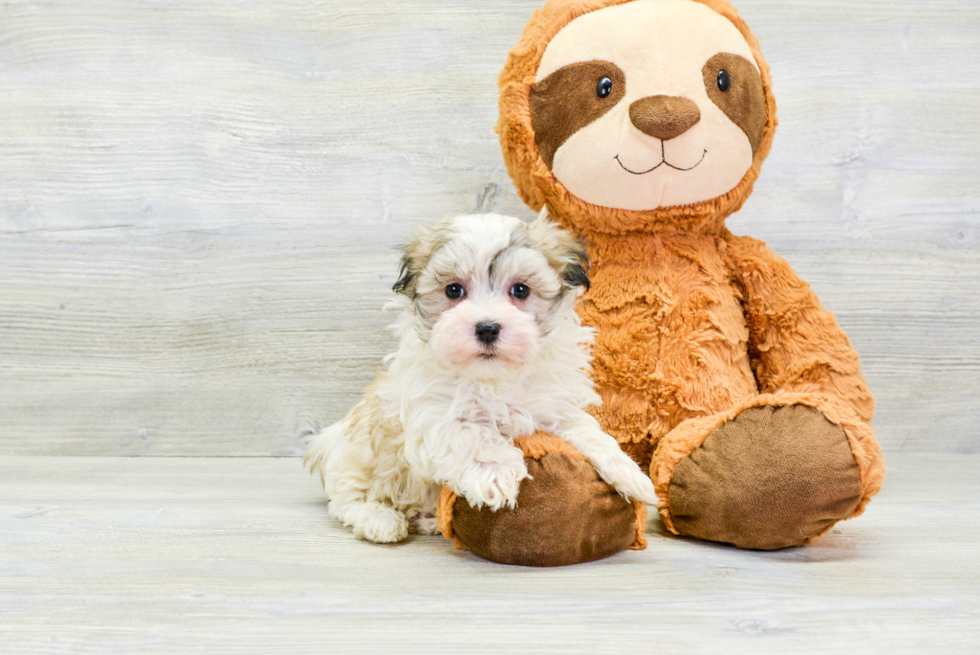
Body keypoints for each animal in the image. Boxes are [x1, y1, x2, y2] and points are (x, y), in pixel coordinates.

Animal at [304, 214, 660, 544]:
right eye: (453, 290)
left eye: (520, 290)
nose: (487, 328)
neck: (494, 378)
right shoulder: (432, 414)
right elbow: (474, 435)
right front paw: (496, 474)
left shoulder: (554, 406)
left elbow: (587, 431)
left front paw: (629, 473)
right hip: (355, 457)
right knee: (349, 498)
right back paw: (380, 520)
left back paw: (427, 519)